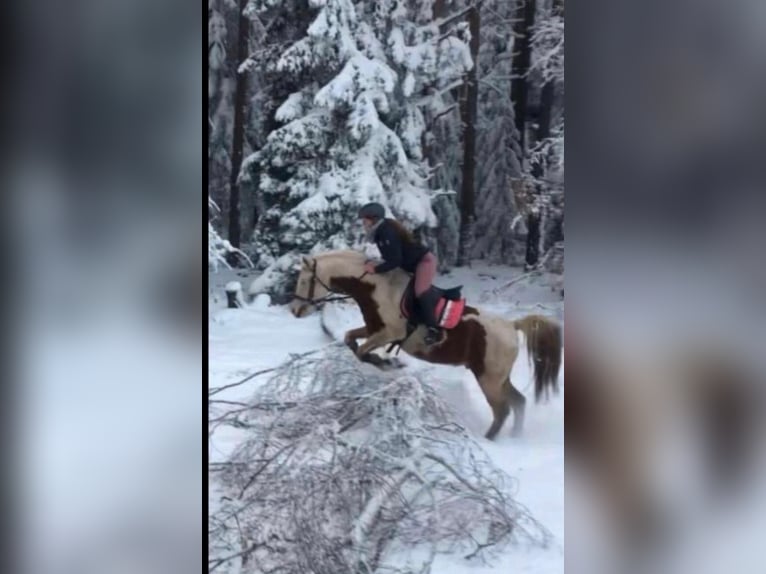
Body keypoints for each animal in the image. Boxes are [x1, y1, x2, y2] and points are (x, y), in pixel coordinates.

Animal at [288, 249, 562, 440]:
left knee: (502, 410)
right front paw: (386, 362)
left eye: (303, 281)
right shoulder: (375, 330)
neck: (377, 288)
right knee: (518, 402)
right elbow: (350, 340)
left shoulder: (389, 332)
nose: (294, 310)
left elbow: (362, 351)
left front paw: (387, 363)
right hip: (497, 377)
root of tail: (512, 326)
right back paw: (515, 436)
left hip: (489, 378)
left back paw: (489, 441)